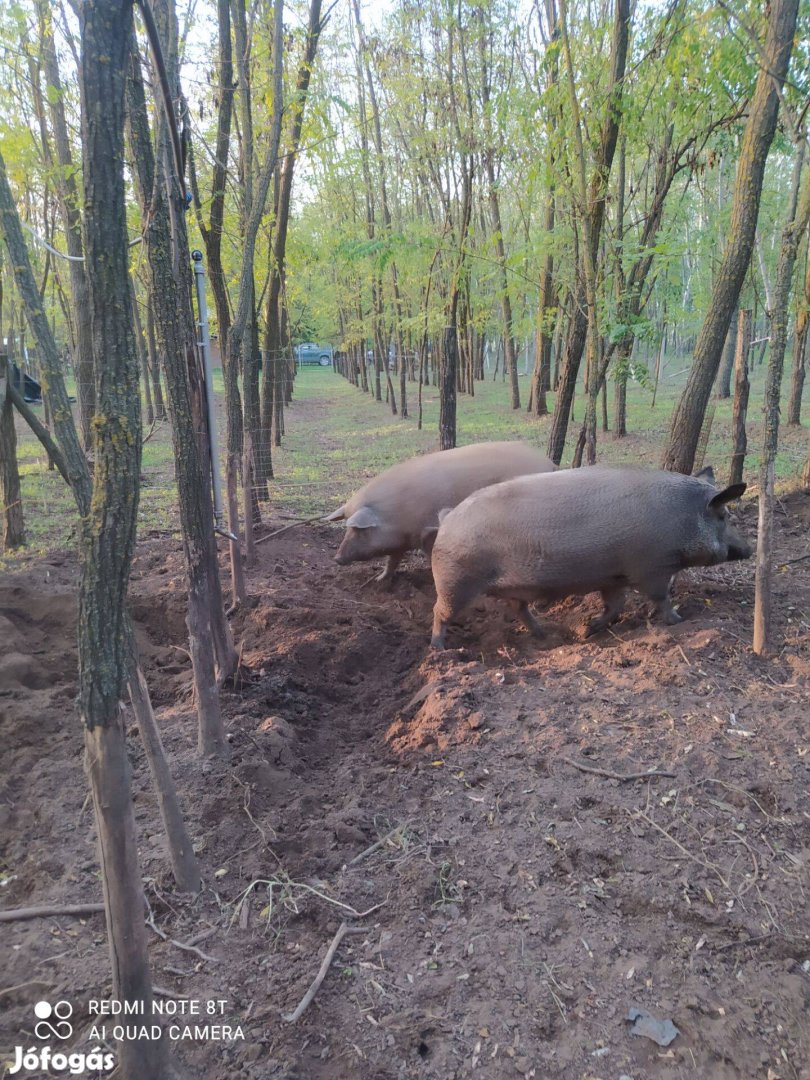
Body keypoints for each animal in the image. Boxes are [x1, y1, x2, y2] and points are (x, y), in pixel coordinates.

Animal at [326, 442, 557, 587]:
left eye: (359, 530)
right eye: (346, 529)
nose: (336, 558)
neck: (395, 515)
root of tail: (551, 464)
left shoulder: (426, 531)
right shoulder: (401, 542)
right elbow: (392, 560)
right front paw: (379, 580)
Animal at [427, 460, 751, 643]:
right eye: (723, 516)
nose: (748, 549)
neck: (679, 518)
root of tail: (446, 519)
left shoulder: (614, 576)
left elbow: (615, 605)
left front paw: (588, 632)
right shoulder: (651, 568)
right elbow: (660, 598)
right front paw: (678, 621)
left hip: (510, 589)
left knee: (519, 609)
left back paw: (545, 636)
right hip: (455, 582)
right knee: (439, 612)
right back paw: (438, 649)